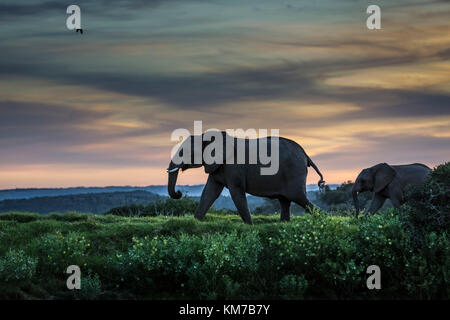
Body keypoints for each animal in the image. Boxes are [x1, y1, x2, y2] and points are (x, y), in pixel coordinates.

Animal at [167, 131, 326, 224]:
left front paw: (250, 226)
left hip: (294, 171)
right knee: (285, 200)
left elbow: (236, 192)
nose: (179, 193)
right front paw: (195, 222)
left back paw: (323, 220)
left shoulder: (234, 166)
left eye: (185, 152)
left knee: (297, 197)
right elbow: (210, 192)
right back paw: (284, 224)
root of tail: (306, 155)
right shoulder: (218, 166)